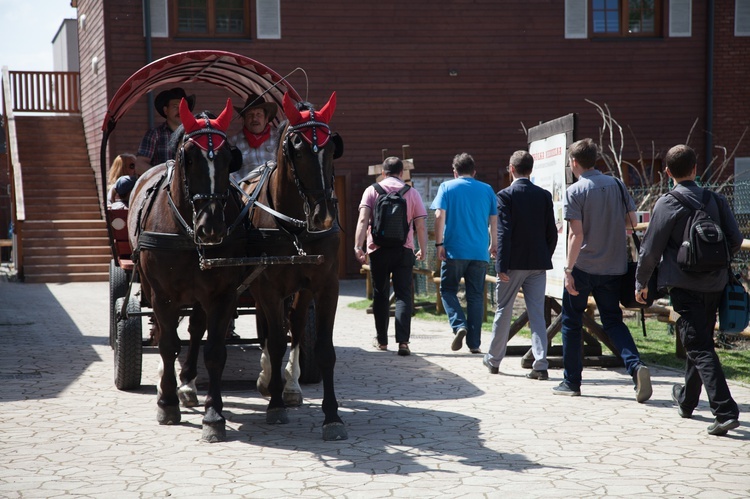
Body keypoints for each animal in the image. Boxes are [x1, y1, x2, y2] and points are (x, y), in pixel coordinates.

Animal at [128, 99, 247, 444]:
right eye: (190, 157)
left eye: (228, 157)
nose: (212, 227)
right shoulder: (163, 295)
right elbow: (168, 344)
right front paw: (167, 403)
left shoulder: (221, 295)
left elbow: (214, 352)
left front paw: (213, 416)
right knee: (164, 332)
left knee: (195, 331)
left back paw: (189, 383)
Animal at [250, 92, 350, 440]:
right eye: (297, 148)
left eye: (333, 148)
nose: (324, 217)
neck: (295, 226)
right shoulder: (267, 287)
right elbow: (276, 341)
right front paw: (275, 404)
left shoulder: (326, 286)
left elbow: (324, 349)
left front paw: (332, 416)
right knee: (268, 331)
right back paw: (268, 379)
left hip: (300, 290)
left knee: (292, 323)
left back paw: (290, 384)